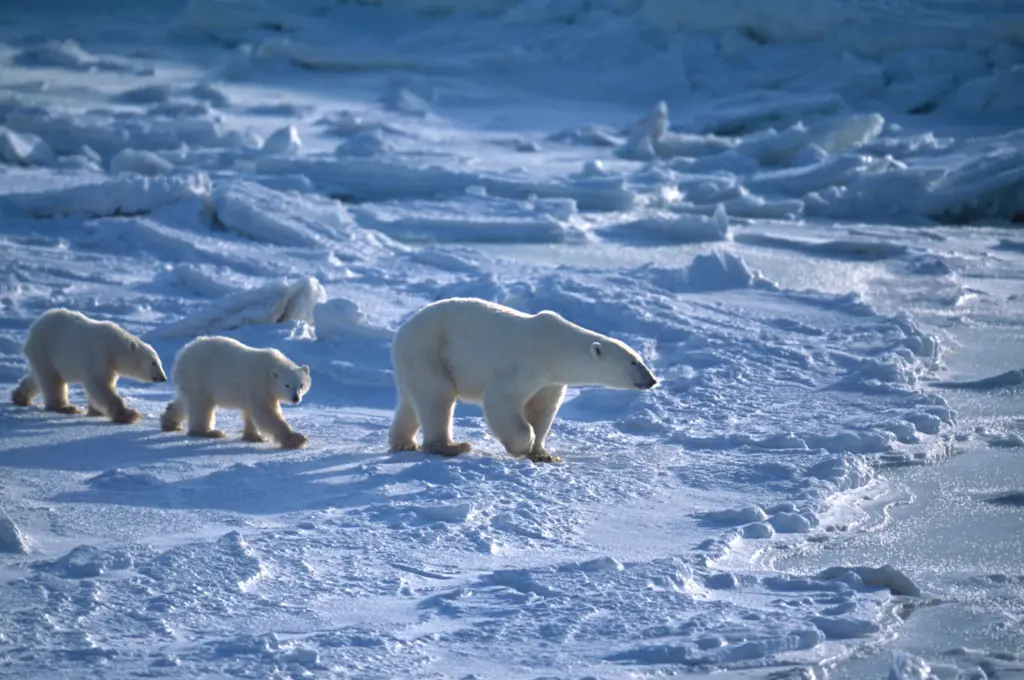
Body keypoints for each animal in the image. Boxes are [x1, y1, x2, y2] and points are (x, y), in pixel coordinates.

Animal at [11, 308, 167, 423]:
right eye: (153, 362)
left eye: (160, 362)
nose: (163, 378)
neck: (113, 346)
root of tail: (34, 326)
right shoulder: (99, 355)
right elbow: (99, 385)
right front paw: (128, 414)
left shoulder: (111, 365)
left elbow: (104, 384)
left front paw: (95, 411)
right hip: (46, 348)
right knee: (52, 381)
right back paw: (65, 407)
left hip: (44, 355)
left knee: (38, 377)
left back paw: (20, 397)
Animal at [160, 336, 311, 450]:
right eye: (287, 385)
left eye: (301, 385)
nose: (295, 398)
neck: (269, 368)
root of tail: (181, 354)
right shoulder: (258, 384)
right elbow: (266, 412)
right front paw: (295, 439)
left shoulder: (253, 390)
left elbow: (251, 412)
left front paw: (254, 436)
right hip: (198, 376)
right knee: (201, 405)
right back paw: (209, 432)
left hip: (190, 382)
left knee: (184, 402)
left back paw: (170, 422)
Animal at [387, 297, 658, 463]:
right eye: (633, 362)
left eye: (639, 358)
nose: (652, 380)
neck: (556, 348)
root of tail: (403, 331)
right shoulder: (526, 364)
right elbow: (501, 399)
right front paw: (522, 445)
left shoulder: (550, 380)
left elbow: (542, 410)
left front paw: (544, 454)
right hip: (430, 351)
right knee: (437, 397)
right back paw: (451, 446)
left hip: (415, 360)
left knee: (412, 401)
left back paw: (404, 443)